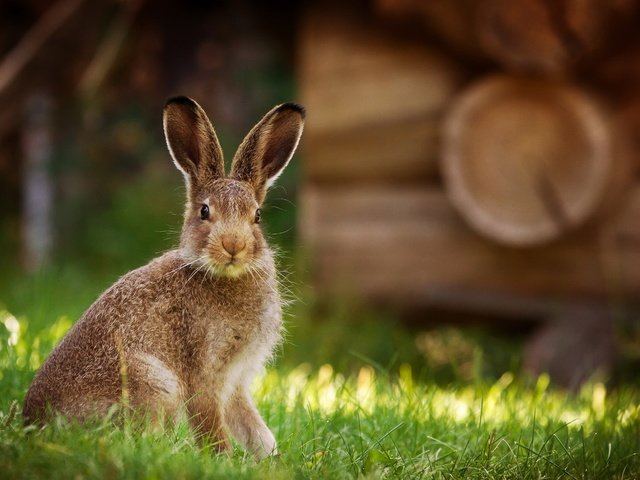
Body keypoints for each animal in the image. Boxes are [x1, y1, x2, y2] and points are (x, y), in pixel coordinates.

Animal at [22, 95, 304, 460]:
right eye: (204, 211)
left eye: (256, 216)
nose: (233, 246)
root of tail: (33, 425)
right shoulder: (203, 374)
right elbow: (210, 423)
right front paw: (222, 460)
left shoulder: (236, 381)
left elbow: (253, 426)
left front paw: (270, 459)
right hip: (154, 382)